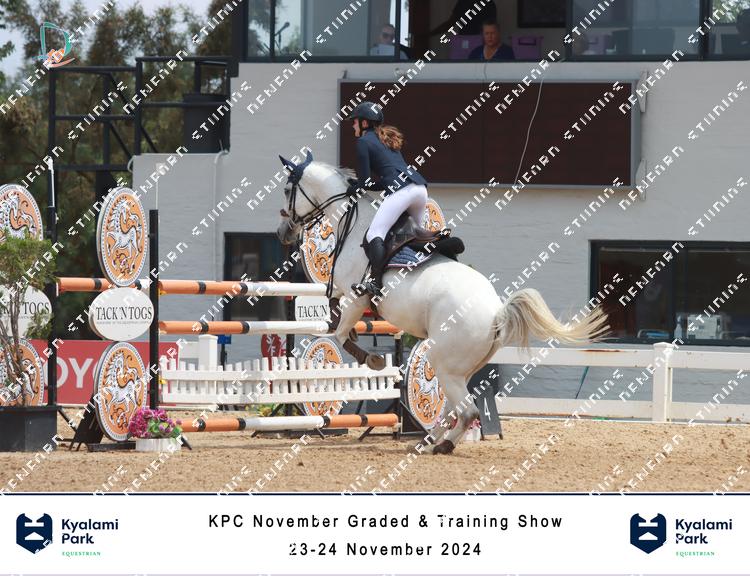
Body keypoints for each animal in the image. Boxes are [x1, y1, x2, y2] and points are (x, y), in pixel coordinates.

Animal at [276, 151, 607, 453]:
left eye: (287, 189)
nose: (283, 232)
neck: (353, 223)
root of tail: (497, 313)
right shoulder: (347, 294)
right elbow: (335, 315)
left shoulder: (355, 294)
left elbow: (341, 330)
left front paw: (372, 359)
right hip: (462, 369)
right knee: (453, 410)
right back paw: (427, 442)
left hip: (444, 363)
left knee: (467, 411)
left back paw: (441, 444)